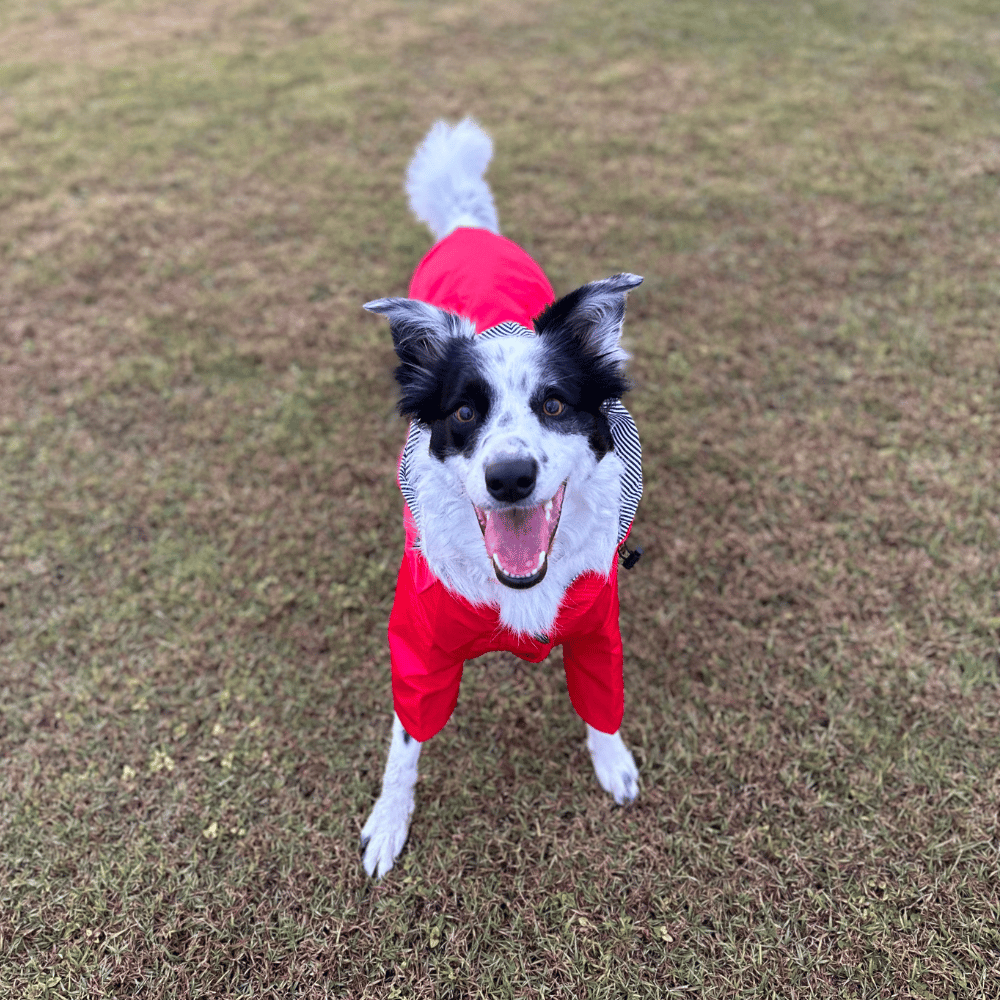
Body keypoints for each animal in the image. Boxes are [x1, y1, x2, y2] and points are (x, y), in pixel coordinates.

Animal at [360, 121, 640, 880]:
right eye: (463, 413)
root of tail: (467, 227)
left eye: (555, 404)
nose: (510, 478)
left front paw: (613, 763)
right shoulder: (420, 647)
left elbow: (601, 702)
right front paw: (388, 821)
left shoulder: (596, 626)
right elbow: (405, 744)